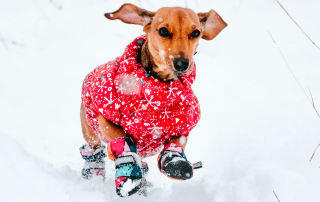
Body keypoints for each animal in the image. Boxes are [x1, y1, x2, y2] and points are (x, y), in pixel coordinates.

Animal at [79, 2, 226, 196]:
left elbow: (176, 143)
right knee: (95, 152)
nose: (182, 63)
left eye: (196, 33)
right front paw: (128, 171)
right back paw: (95, 174)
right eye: (163, 31)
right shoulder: (105, 118)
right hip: (90, 131)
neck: (158, 94)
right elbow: (121, 138)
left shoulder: (183, 124)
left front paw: (175, 161)